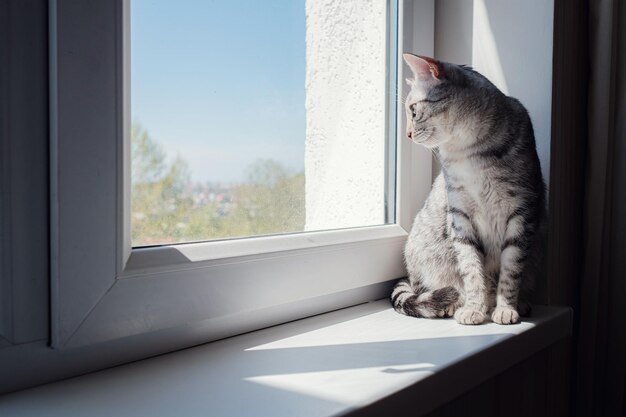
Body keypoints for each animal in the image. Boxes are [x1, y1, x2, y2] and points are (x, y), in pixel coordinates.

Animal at [390, 52, 544, 324]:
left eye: (413, 111)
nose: (407, 134)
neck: (467, 151)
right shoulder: (460, 217)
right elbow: (472, 269)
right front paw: (474, 307)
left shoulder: (521, 211)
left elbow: (510, 271)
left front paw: (506, 308)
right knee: (424, 289)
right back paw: (453, 303)